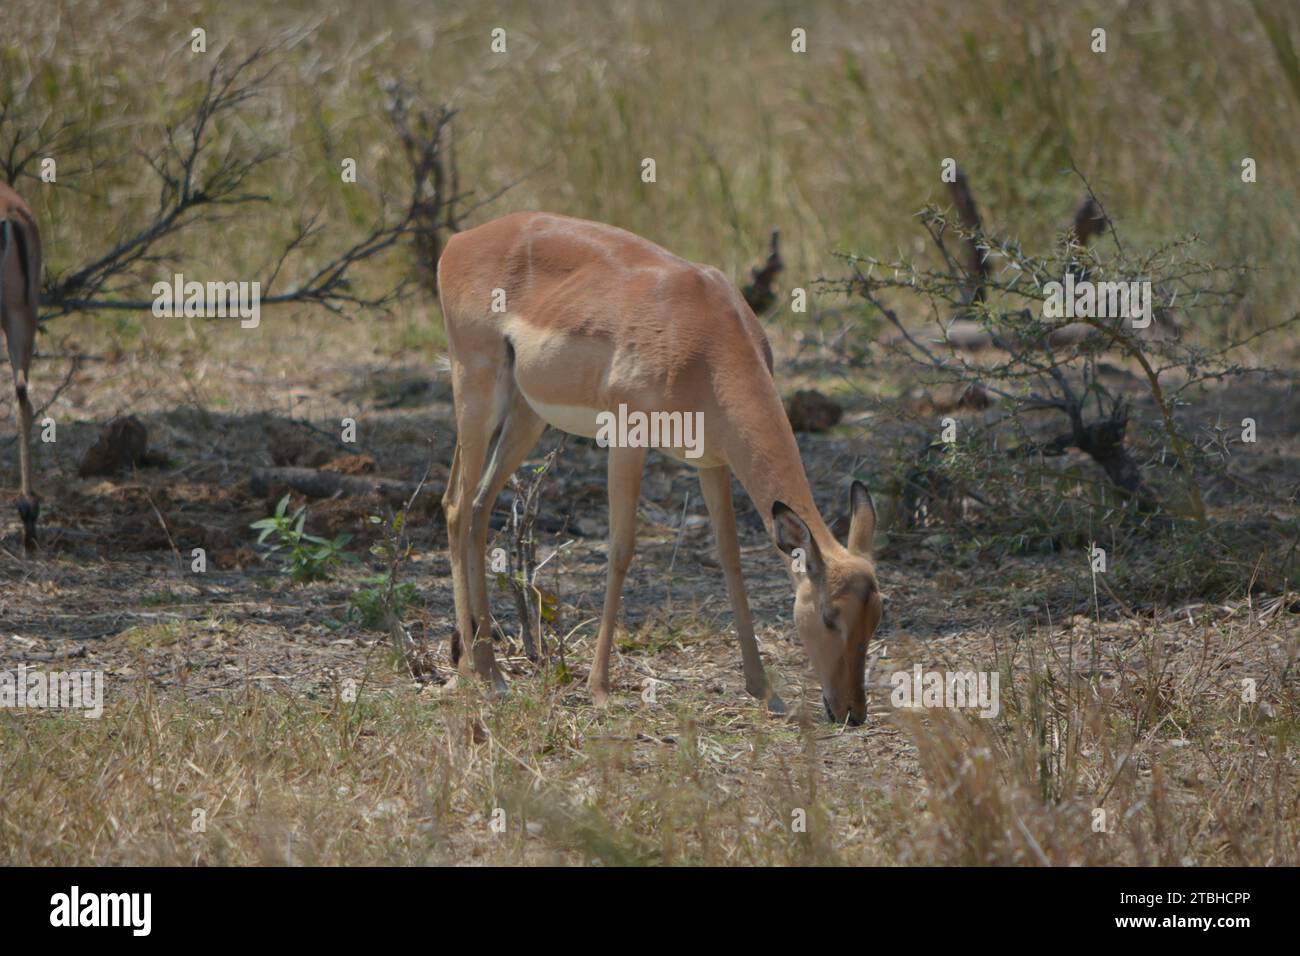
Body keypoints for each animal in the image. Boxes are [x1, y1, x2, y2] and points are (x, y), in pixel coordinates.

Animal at [438, 212, 882, 723]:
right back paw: (471, 673)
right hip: (476, 390)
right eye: (830, 616)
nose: (851, 711)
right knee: (456, 506)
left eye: (877, 616)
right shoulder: (627, 439)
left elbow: (730, 558)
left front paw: (765, 690)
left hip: (524, 414)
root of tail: (460, 241)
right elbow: (621, 549)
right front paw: (599, 689)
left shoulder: (713, 461)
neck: (705, 336)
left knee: (477, 507)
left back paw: (490, 671)